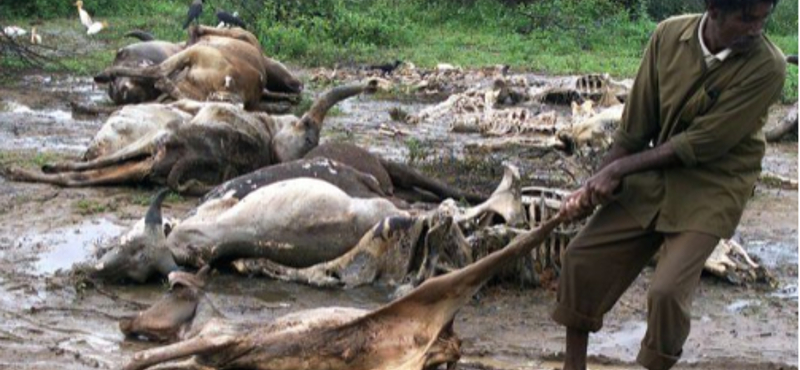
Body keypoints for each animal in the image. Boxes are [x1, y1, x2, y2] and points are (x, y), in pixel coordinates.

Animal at [3, 80, 378, 195]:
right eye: (306, 129)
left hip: (153, 142)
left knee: (86, 171)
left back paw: (32, 169)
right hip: (145, 162)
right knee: (84, 177)